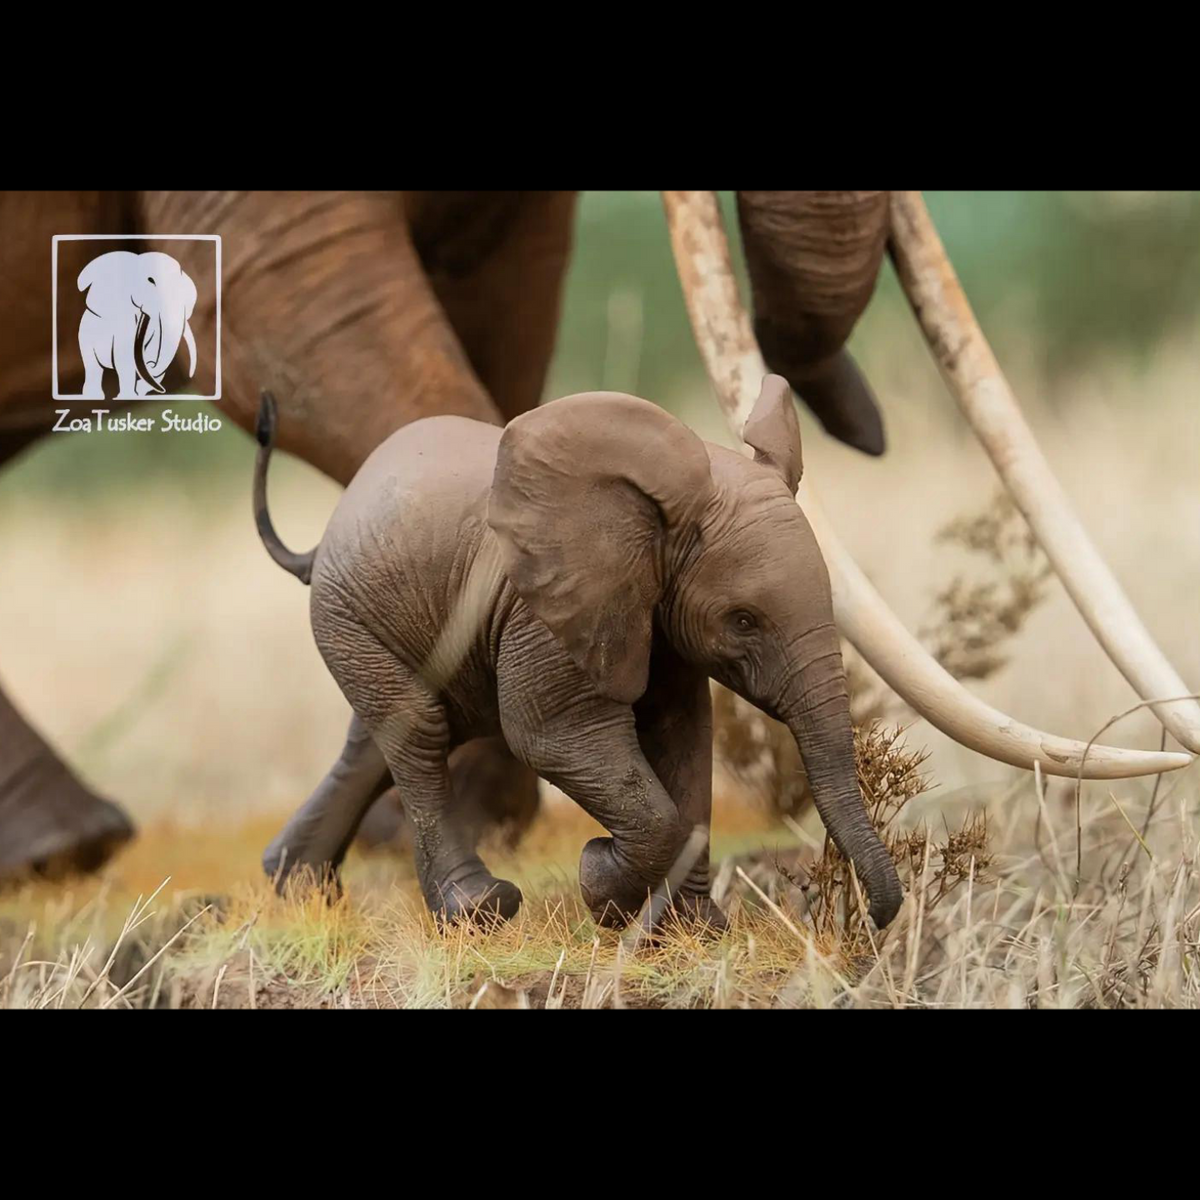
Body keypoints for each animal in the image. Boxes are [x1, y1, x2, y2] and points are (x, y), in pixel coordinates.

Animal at [254, 377, 905, 929]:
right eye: (743, 620)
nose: (872, 918)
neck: (655, 519)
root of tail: (327, 532)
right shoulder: (545, 611)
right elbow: (552, 736)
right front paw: (601, 885)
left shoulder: (650, 614)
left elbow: (684, 737)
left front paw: (695, 929)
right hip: (347, 611)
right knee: (420, 731)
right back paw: (477, 910)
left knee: (381, 739)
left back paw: (297, 887)